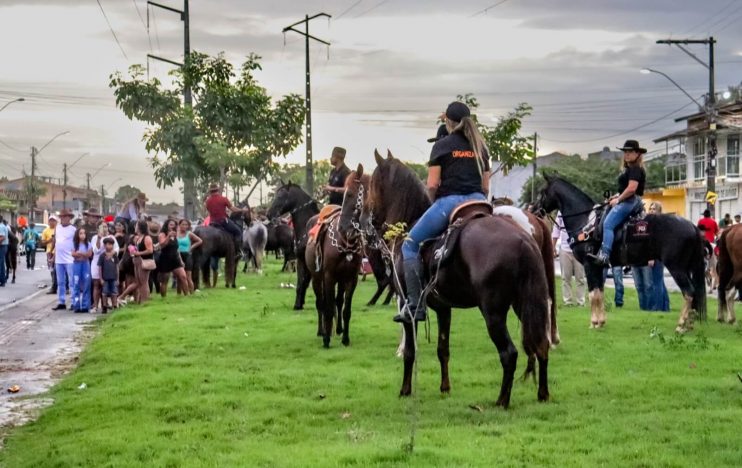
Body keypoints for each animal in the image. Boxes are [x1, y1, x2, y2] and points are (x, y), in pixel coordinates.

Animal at [306, 165, 370, 348]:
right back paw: (322, 331)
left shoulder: (351, 278)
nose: (342, 227)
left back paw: (338, 329)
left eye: (351, 194)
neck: (345, 241)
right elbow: (327, 307)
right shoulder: (328, 276)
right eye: (346, 194)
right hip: (316, 277)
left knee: (338, 301)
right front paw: (327, 339)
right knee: (320, 303)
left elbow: (345, 309)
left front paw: (345, 338)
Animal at [370, 152, 552, 408]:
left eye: (372, 182)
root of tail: (524, 240)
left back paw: (501, 401)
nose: (369, 219)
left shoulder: (408, 307)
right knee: (541, 345)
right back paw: (542, 394)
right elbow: (443, 349)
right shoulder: (443, 309)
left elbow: (410, 352)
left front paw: (405, 390)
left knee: (509, 353)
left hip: (493, 312)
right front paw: (445, 388)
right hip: (525, 305)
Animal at [536, 175, 708, 332]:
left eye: (542, 192)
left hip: (676, 268)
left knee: (689, 292)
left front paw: (593, 323)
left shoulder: (589, 265)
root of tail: (692, 226)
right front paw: (601, 322)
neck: (585, 223)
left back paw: (681, 325)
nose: (532, 209)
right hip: (686, 268)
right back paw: (689, 324)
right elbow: (599, 293)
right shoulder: (598, 267)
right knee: (694, 294)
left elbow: (592, 294)